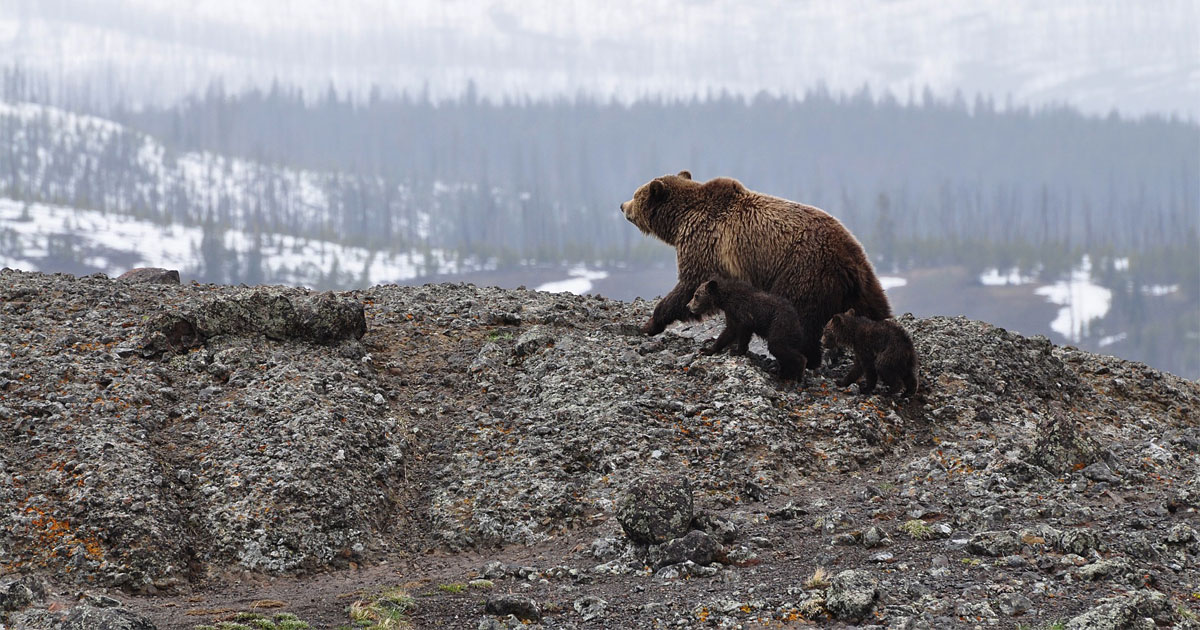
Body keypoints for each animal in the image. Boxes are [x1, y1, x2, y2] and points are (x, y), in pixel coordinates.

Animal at [619, 171, 892, 369]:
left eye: (636, 193)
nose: (622, 205)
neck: (679, 221)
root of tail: (849, 260)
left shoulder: (704, 243)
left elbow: (689, 285)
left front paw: (651, 323)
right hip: (863, 281)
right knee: (876, 310)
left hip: (804, 271)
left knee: (801, 317)